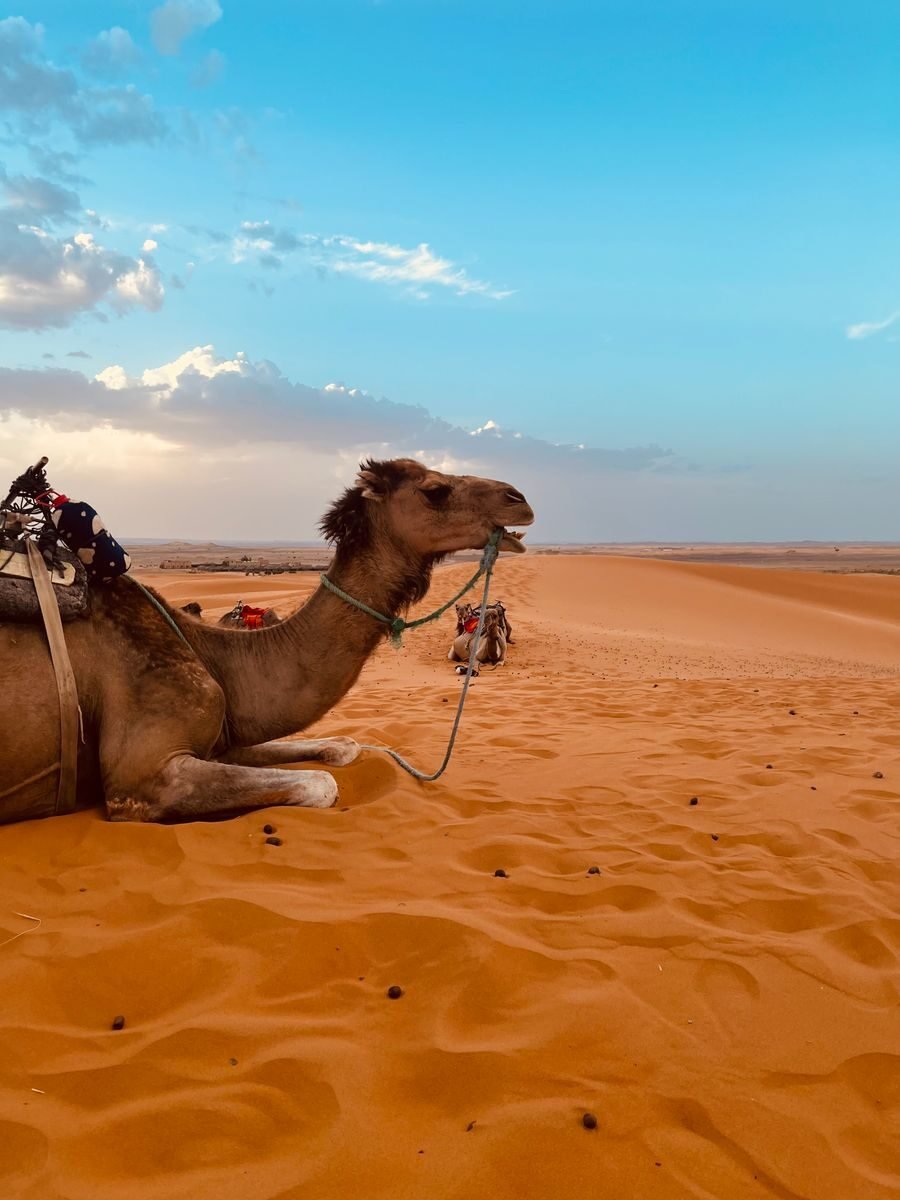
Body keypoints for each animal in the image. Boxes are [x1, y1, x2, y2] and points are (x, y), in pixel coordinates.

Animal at [1, 458, 532, 824]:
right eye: (435, 490)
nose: (519, 498)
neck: (210, 652)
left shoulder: (220, 740)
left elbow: (342, 747)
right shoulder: (142, 777)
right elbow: (321, 784)